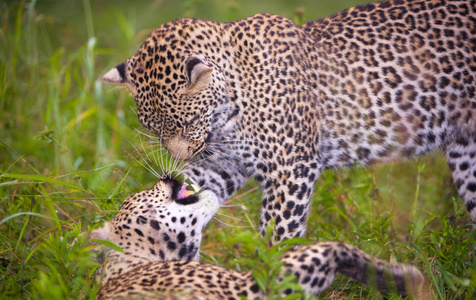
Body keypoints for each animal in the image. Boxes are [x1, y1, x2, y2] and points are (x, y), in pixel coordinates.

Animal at [102, 0, 476, 244]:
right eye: (153, 129)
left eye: (186, 121)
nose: (178, 157)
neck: (230, 111)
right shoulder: (223, 165)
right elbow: (193, 189)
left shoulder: (291, 167)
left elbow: (278, 233)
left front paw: (276, 274)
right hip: (466, 155)